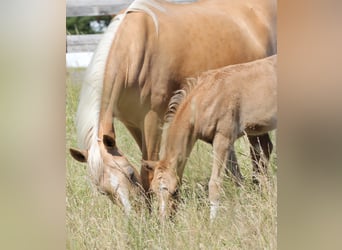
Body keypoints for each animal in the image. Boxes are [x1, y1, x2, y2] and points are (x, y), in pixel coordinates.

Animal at [144, 55, 278, 219]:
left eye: (175, 191)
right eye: (154, 190)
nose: (165, 219)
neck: (202, 100)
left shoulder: (223, 138)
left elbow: (214, 183)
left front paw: (212, 220)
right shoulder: (225, 142)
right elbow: (236, 176)